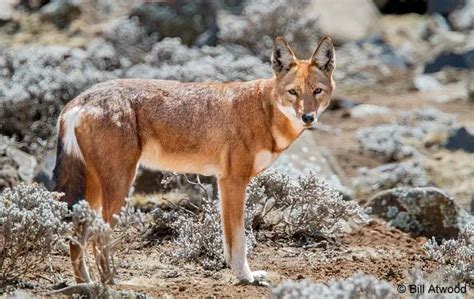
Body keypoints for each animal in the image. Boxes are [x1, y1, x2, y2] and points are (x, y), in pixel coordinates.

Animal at [54, 36, 336, 284]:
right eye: (293, 92)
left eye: (317, 91)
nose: (308, 117)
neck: (264, 112)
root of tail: (78, 100)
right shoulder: (233, 182)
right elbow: (239, 240)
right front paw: (246, 277)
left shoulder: (224, 183)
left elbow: (228, 240)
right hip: (120, 186)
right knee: (97, 236)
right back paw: (109, 283)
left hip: (93, 192)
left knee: (76, 237)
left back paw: (85, 285)